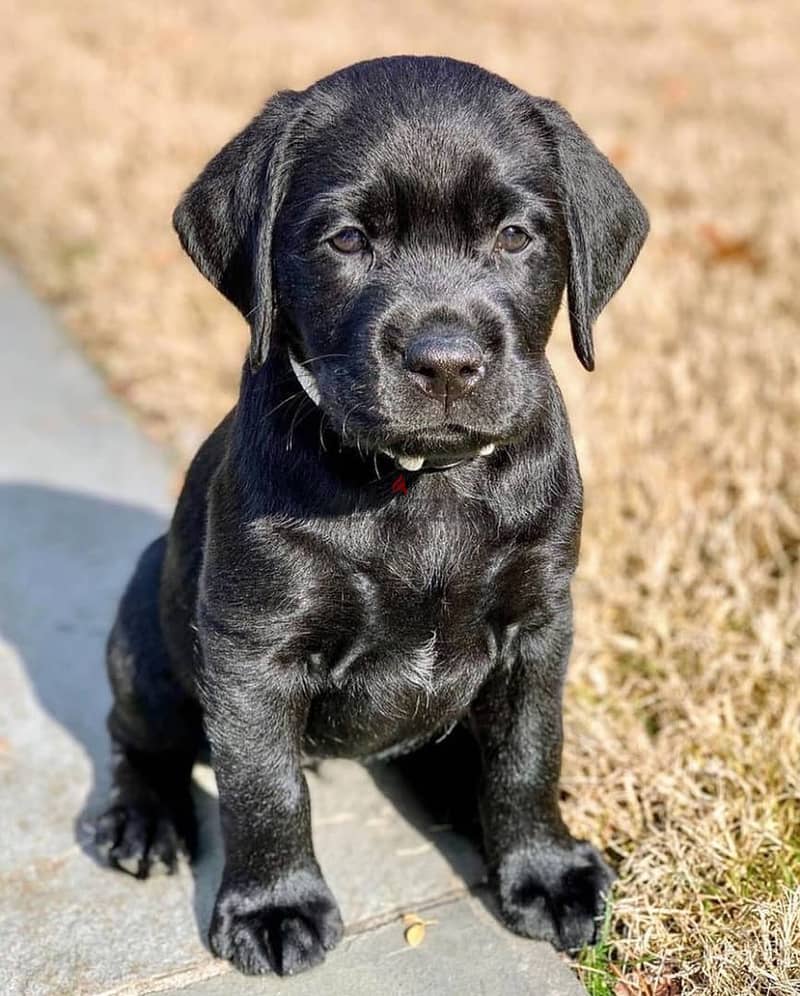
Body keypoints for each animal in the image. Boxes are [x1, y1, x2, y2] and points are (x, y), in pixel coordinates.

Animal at [92, 52, 648, 972]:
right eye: (348, 240)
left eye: (514, 236)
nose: (447, 362)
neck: (421, 487)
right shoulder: (252, 648)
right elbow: (263, 785)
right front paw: (275, 906)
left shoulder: (539, 625)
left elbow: (530, 753)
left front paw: (543, 870)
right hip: (146, 646)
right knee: (141, 736)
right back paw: (143, 817)